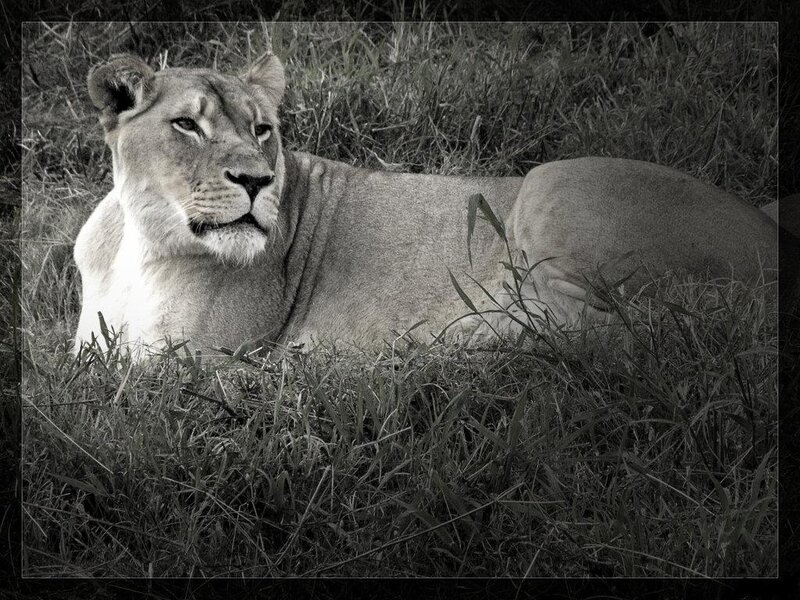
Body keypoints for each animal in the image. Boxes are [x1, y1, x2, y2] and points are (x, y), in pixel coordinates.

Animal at [73, 52, 778, 356]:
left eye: (262, 129)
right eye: (186, 126)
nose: (257, 181)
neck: (140, 243)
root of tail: (777, 234)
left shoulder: (195, 363)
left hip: (549, 186)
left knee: (624, 331)